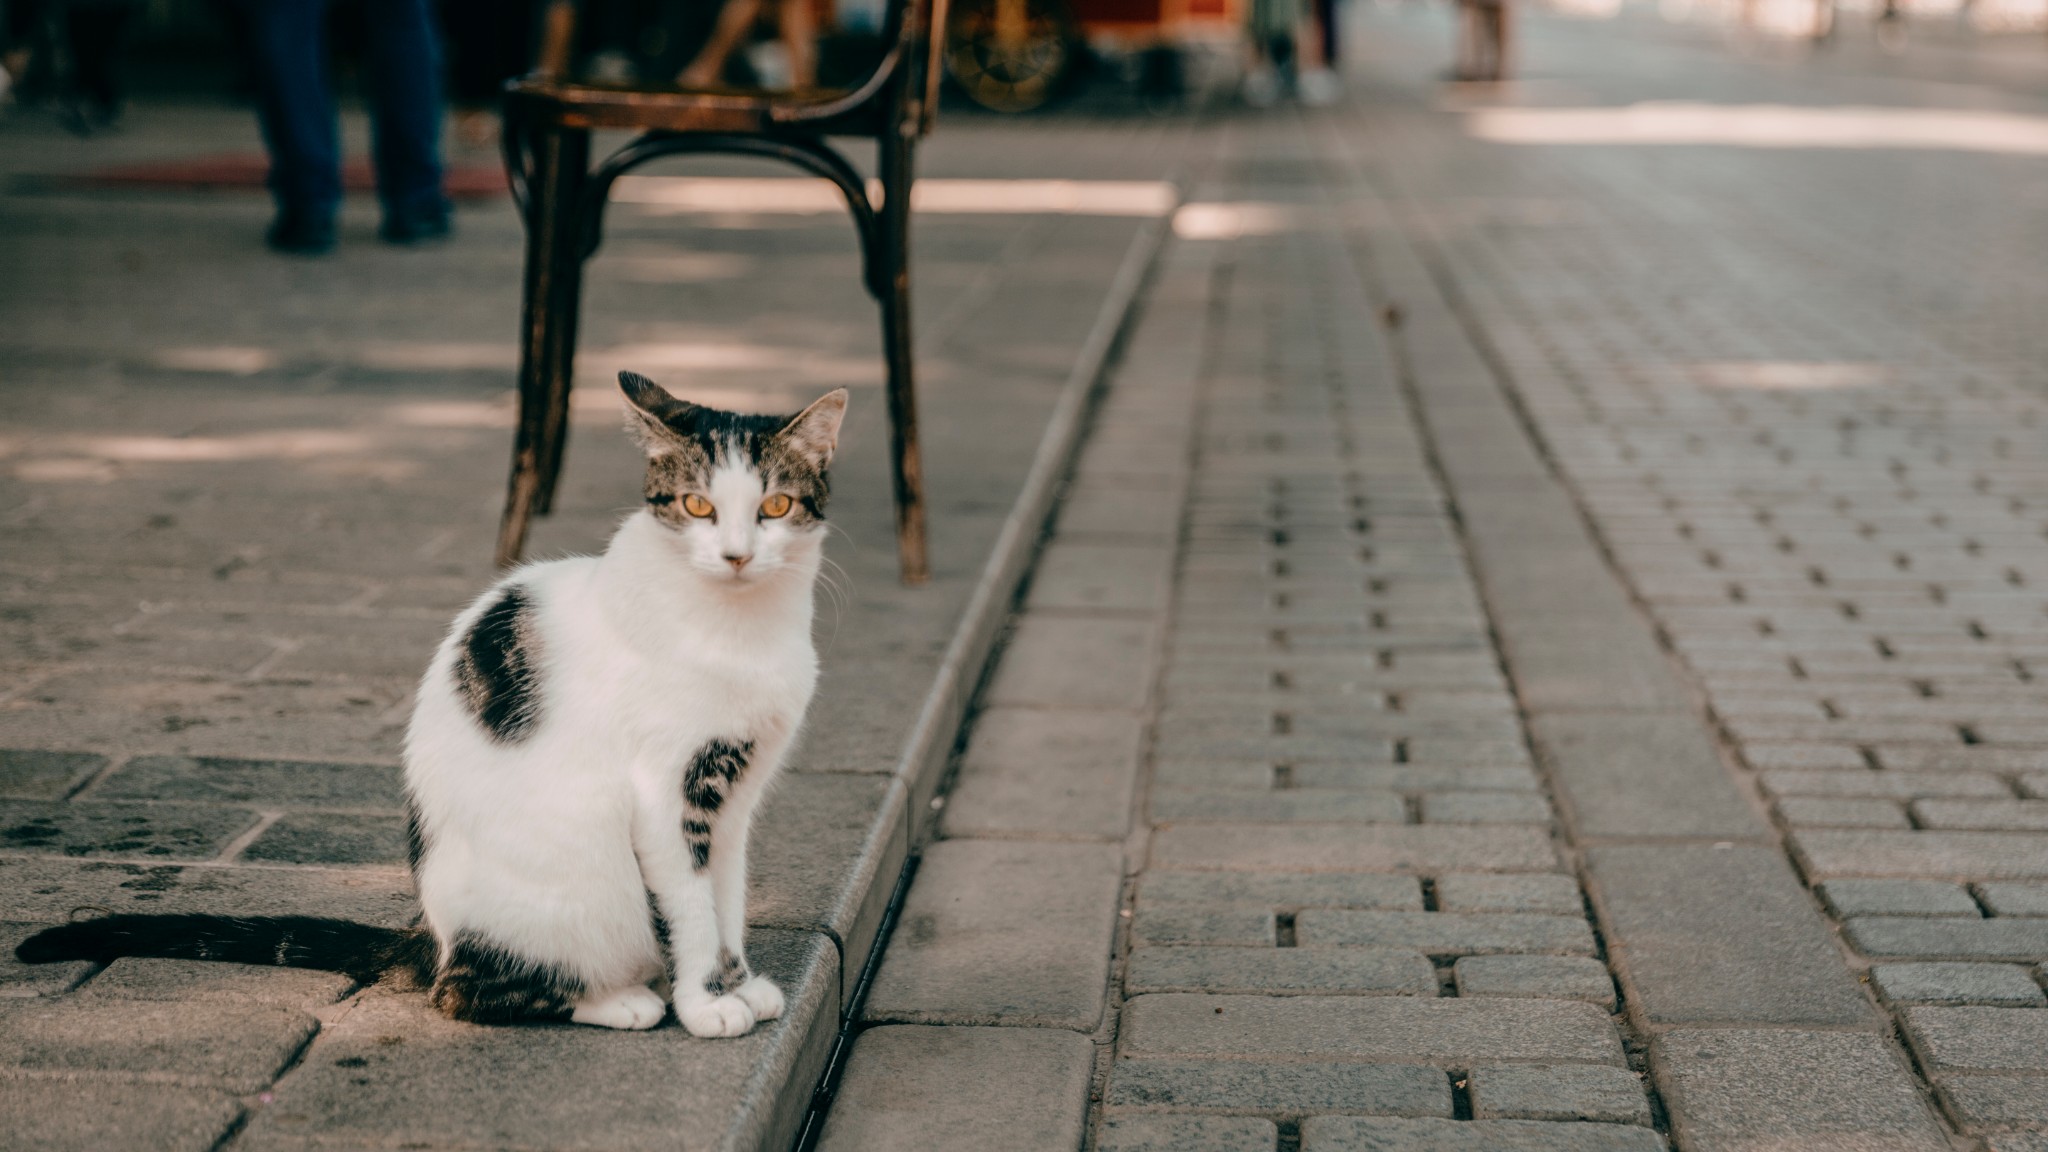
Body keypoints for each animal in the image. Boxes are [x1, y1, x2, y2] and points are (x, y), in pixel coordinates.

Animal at [19, 373, 847, 1037]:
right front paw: (706, 1005)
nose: (737, 555)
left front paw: (740, 983)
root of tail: (433, 937)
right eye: (697, 505)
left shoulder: (735, 796)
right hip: (572, 892)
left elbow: (726, 897)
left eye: (775, 505)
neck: (739, 630)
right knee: (464, 995)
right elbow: (689, 908)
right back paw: (620, 1000)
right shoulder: (666, 789)